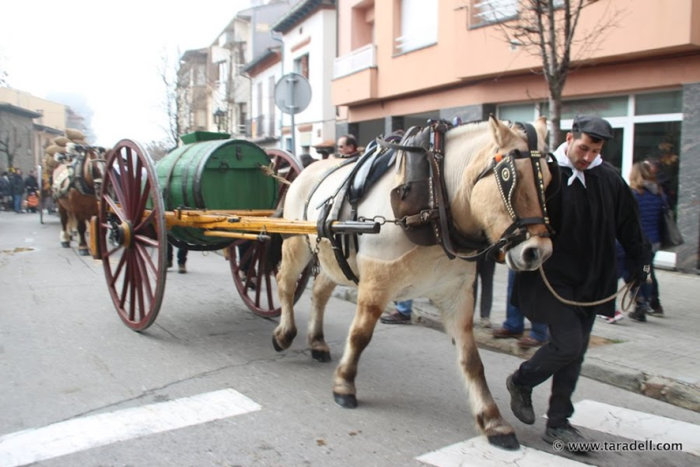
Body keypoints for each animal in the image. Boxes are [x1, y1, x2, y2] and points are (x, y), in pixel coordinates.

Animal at [272, 116, 552, 450]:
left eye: (550, 179)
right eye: (509, 176)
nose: (538, 252)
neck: (434, 200)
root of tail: (305, 170)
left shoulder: (457, 295)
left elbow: (471, 359)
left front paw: (493, 421)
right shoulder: (376, 283)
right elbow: (360, 335)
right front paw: (344, 384)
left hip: (330, 256)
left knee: (319, 293)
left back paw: (316, 341)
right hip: (295, 244)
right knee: (285, 283)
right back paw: (285, 333)